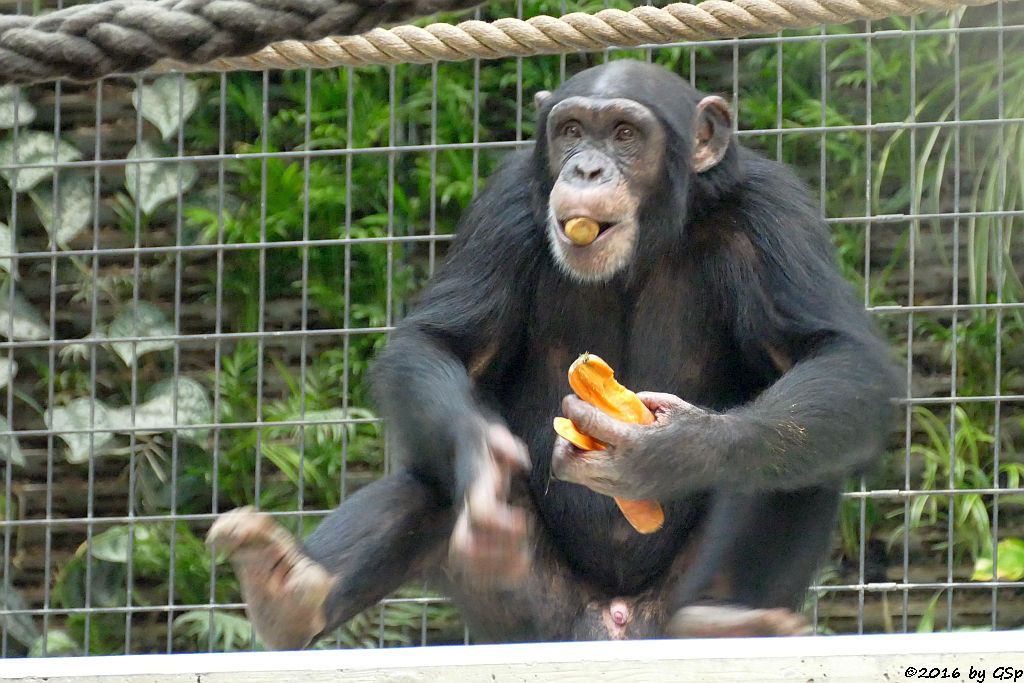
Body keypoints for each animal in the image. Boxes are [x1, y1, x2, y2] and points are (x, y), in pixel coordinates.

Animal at [207, 57, 897, 647]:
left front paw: (669, 450)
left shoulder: (773, 211)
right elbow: (441, 343)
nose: (587, 169)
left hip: (660, 610)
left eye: (624, 134)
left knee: (794, 446)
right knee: (427, 473)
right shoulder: (506, 202)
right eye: (570, 131)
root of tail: (614, 623)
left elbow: (837, 356)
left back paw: (727, 624)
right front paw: (486, 463)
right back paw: (283, 588)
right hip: (530, 620)